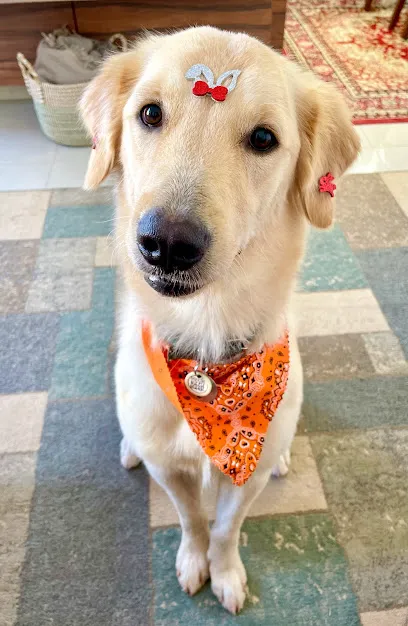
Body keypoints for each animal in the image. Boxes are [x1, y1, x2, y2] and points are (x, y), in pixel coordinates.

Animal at [80, 26, 360, 612]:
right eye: (150, 114)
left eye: (263, 138)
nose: (167, 243)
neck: (206, 356)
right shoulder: (170, 468)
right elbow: (191, 518)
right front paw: (194, 561)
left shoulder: (245, 479)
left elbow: (227, 527)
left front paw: (226, 573)